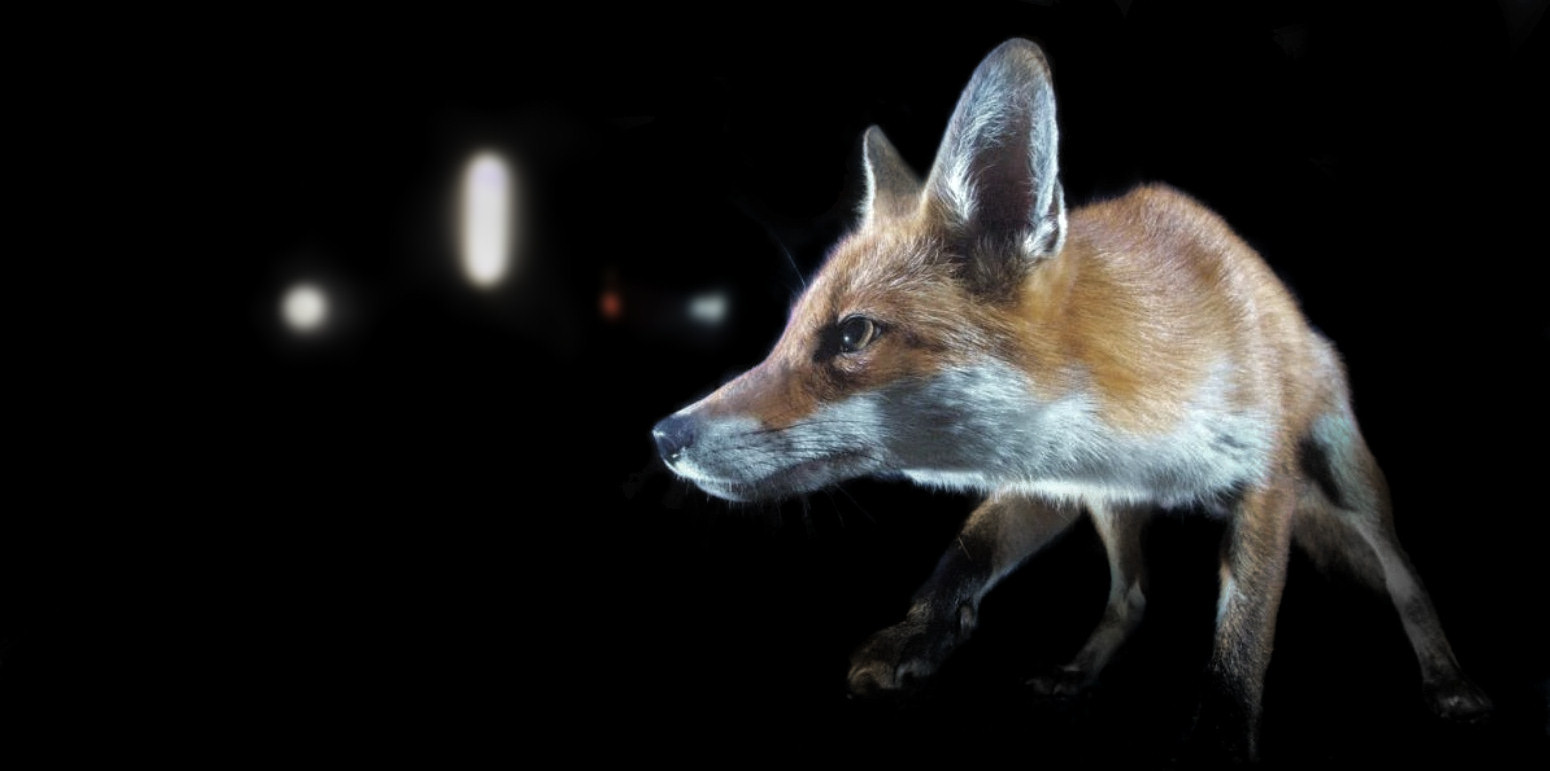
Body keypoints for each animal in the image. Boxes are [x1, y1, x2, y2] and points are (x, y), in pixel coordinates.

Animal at [651, 39, 1492, 760]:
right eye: (786, 334)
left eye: (853, 334)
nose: (665, 435)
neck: (1129, 404)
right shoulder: (1054, 478)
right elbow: (965, 552)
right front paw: (918, 634)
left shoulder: (1265, 481)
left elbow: (1246, 625)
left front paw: (1222, 732)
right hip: (1112, 508)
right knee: (1131, 596)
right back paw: (1080, 672)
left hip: (1350, 478)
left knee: (1402, 571)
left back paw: (1447, 677)